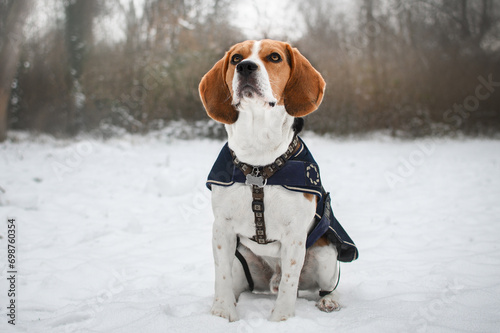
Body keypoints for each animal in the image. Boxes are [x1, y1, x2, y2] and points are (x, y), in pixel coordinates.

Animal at [199, 39, 356, 322]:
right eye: (236, 57)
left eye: (274, 57)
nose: (245, 67)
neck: (259, 164)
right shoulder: (222, 229)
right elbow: (221, 275)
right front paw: (222, 312)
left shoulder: (295, 234)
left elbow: (289, 283)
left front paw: (281, 320)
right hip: (243, 263)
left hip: (326, 252)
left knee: (326, 286)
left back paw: (328, 301)